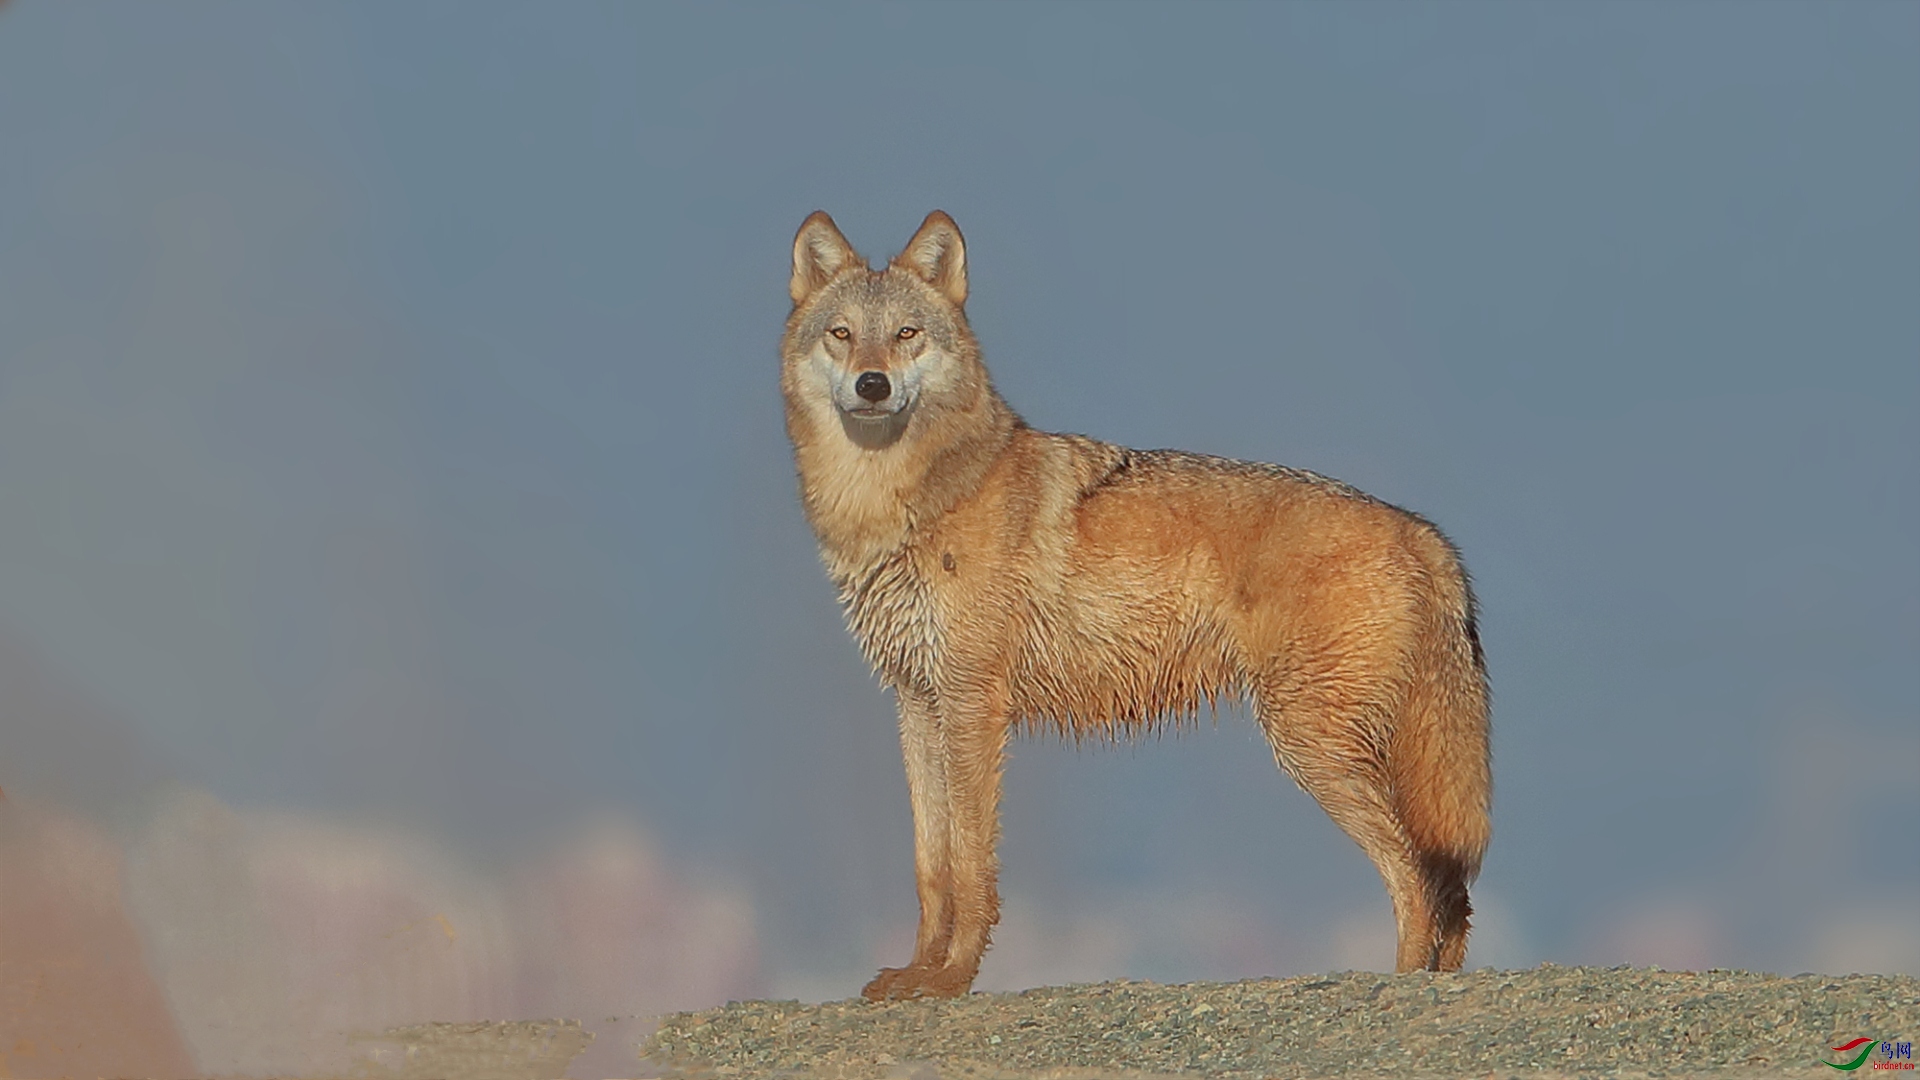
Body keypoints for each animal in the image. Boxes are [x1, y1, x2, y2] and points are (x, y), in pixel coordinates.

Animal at [783, 205, 1497, 999]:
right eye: (842, 334)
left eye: (907, 334)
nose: (872, 384)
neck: (904, 506)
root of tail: (1421, 530)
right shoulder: (917, 702)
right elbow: (931, 867)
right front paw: (917, 977)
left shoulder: (973, 705)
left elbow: (970, 868)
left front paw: (953, 980)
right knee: (1451, 892)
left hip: (1313, 747)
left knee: (1418, 879)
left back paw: (1404, 986)